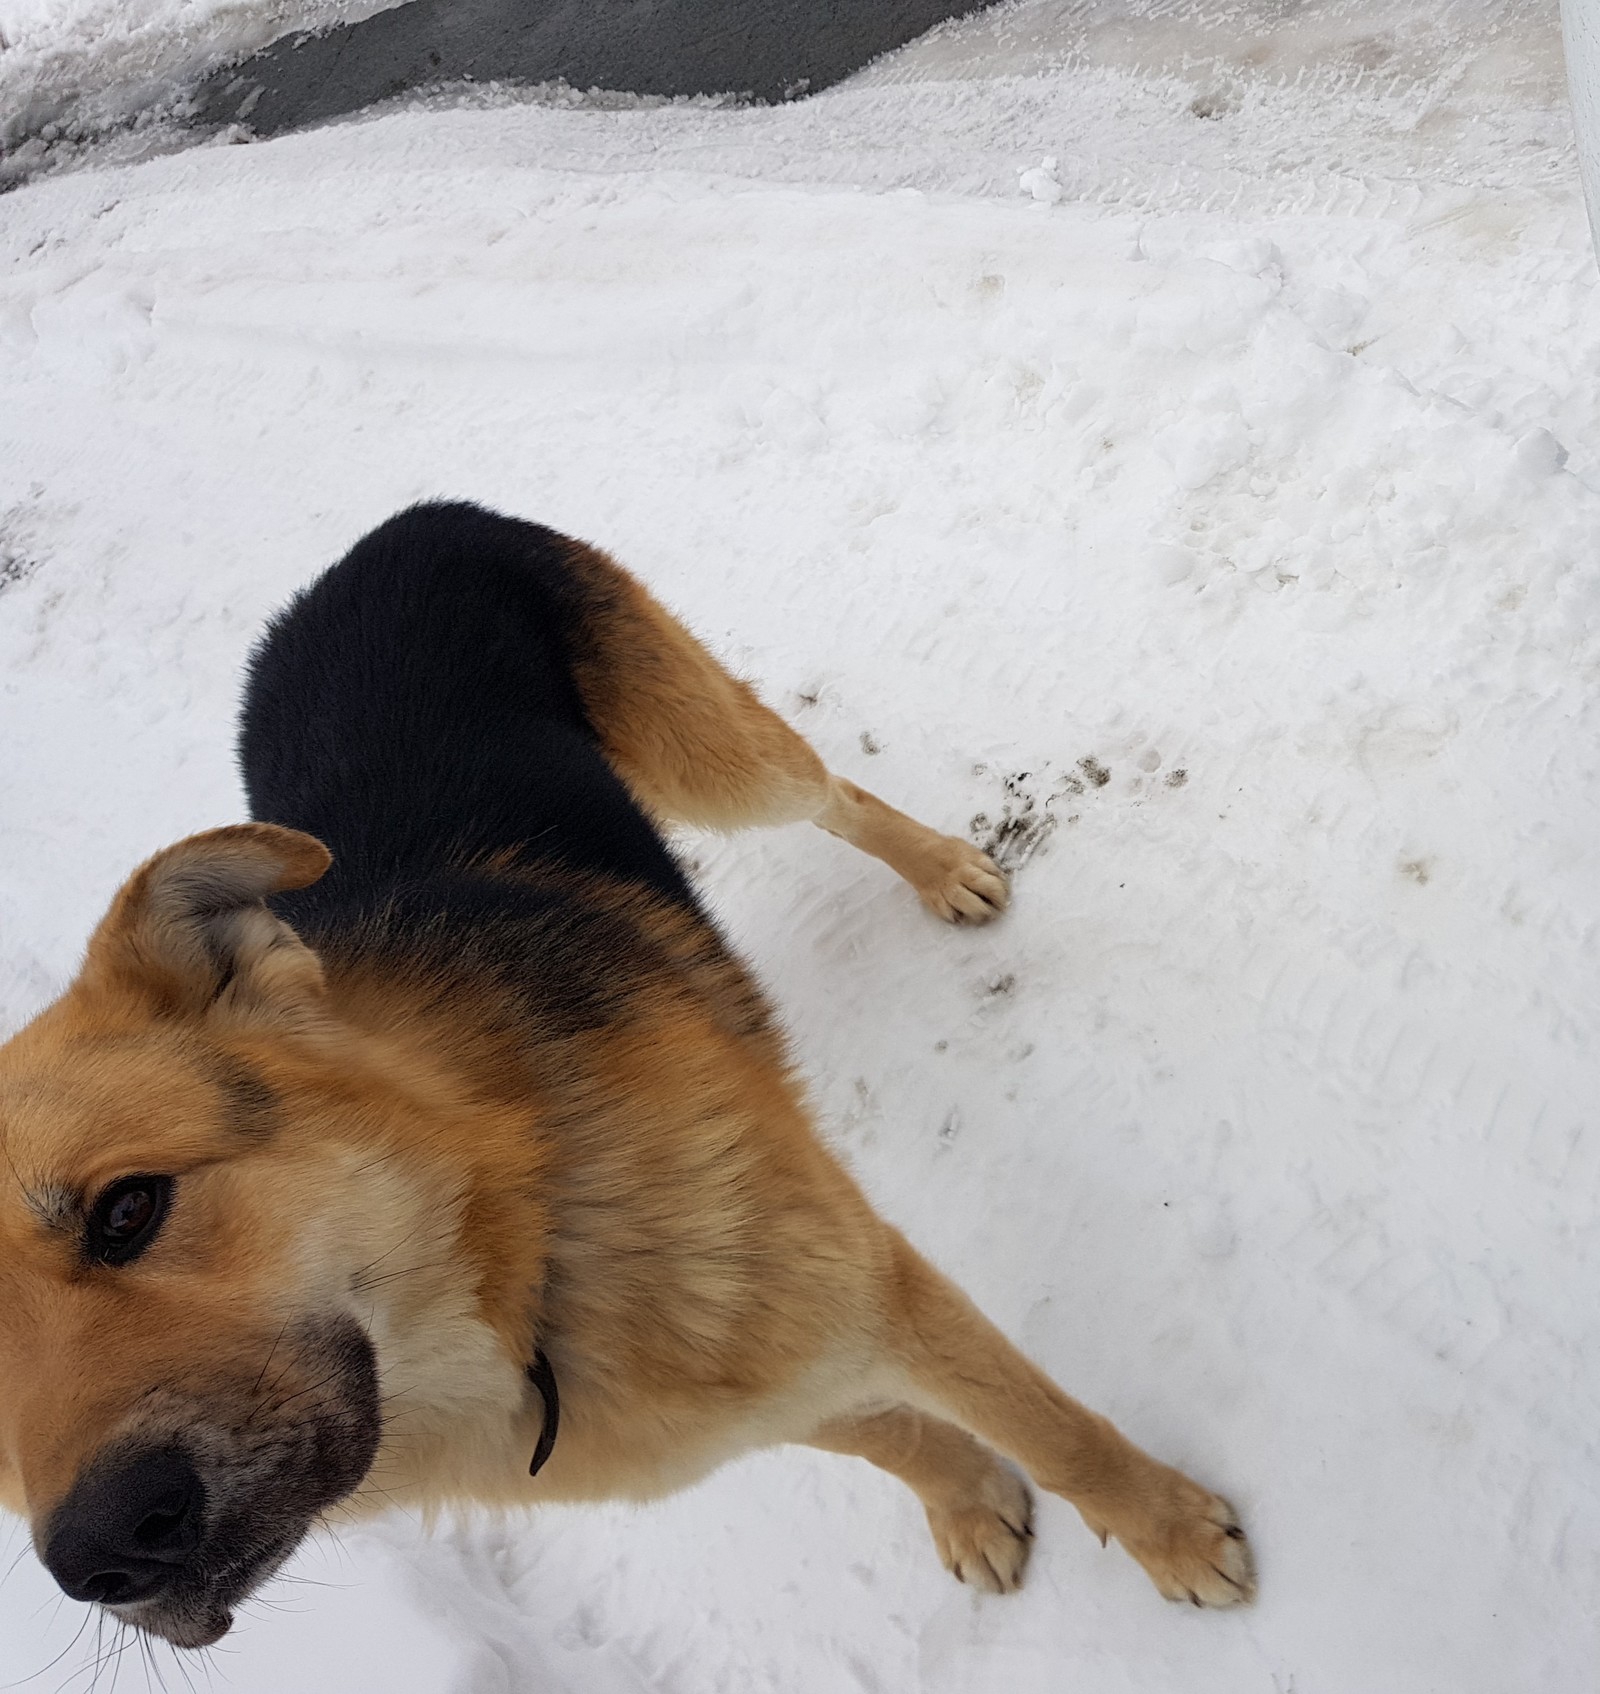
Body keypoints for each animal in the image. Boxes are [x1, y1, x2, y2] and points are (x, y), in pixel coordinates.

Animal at [0, 498, 1246, 1639]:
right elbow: (888, 1434)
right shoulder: (744, 1375)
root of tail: (377, 530)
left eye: (128, 1210)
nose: (106, 1551)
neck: (521, 1248)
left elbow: (1060, 1434)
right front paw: (969, 1502)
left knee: (830, 792)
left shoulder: (872, 1285)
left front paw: (1172, 1532)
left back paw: (942, 869)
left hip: (719, 757)